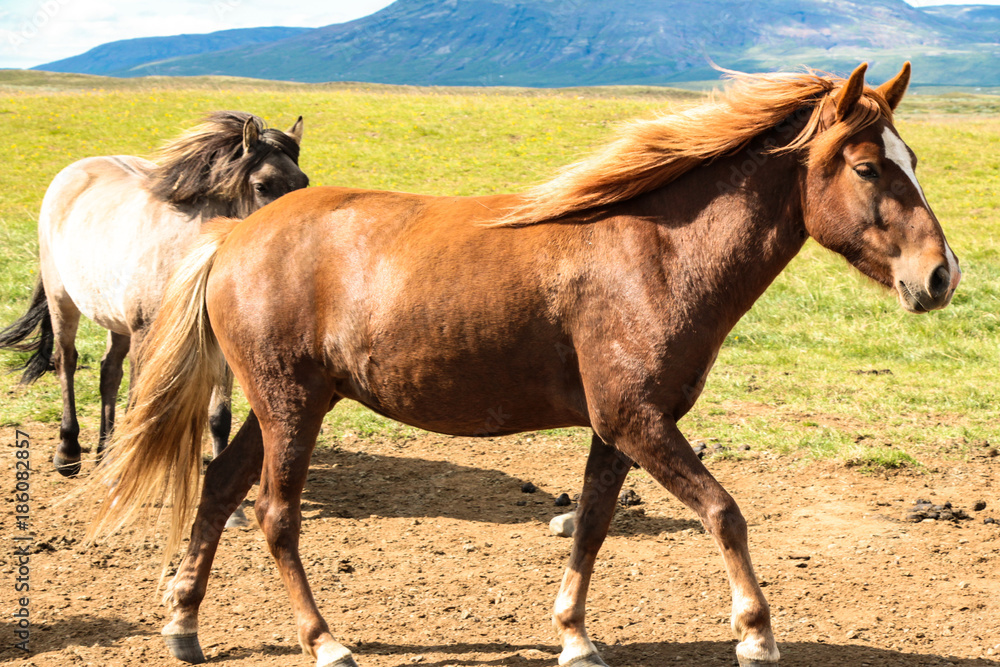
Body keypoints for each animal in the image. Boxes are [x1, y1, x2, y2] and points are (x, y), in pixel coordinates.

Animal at [0, 111, 308, 486]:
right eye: (263, 186)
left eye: (303, 182)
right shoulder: (146, 334)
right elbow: (138, 402)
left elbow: (218, 415)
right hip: (64, 302)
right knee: (66, 362)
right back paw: (69, 453)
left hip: (115, 320)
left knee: (108, 371)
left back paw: (104, 455)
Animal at [90, 64, 956, 667]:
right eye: (869, 168)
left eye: (914, 157)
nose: (942, 275)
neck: (658, 252)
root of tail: (233, 236)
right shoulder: (638, 420)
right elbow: (724, 510)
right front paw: (756, 631)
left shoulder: (619, 427)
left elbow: (595, 525)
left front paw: (574, 634)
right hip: (289, 406)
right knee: (274, 513)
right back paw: (324, 639)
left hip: (286, 406)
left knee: (218, 488)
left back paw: (183, 623)